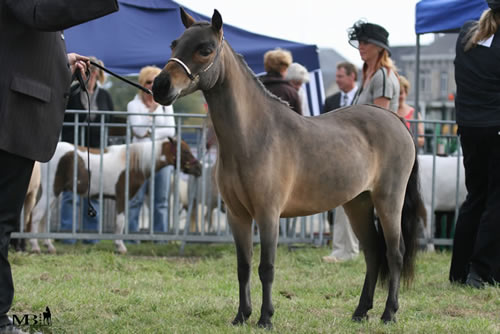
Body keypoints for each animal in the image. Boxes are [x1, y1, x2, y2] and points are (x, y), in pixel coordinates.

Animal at [30, 137, 201, 254]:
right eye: (185, 151)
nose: (199, 169)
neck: (133, 163)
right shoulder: (121, 198)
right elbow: (120, 222)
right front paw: (120, 247)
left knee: (44, 218)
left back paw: (49, 246)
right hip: (51, 192)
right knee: (37, 215)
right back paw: (35, 246)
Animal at [153, 9, 426, 328]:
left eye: (205, 49)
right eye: (174, 44)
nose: (160, 86)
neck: (254, 136)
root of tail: (397, 122)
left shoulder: (268, 214)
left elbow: (266, 267)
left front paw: (265, 318)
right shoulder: (237, 215)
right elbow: (243, 266)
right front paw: (241, 316)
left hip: (389, 201)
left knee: (394, 253)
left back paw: (388, 313)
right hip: (357, 203)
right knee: (373, 253)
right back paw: (360, 312)